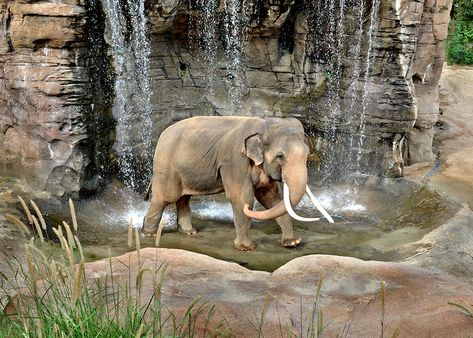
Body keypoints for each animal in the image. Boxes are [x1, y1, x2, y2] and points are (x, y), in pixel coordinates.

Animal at [141, 116, 332, 251]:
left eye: (307, 155)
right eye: (280, 156)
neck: (262, 125)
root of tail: (161, 136)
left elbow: (272, 199)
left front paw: (292, 242)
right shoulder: (234, 160)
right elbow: (242, 198)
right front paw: (246, 248)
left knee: (183, 199)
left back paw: (189, 232)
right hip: (166, 166)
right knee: (164, 198)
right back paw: (149, 234)